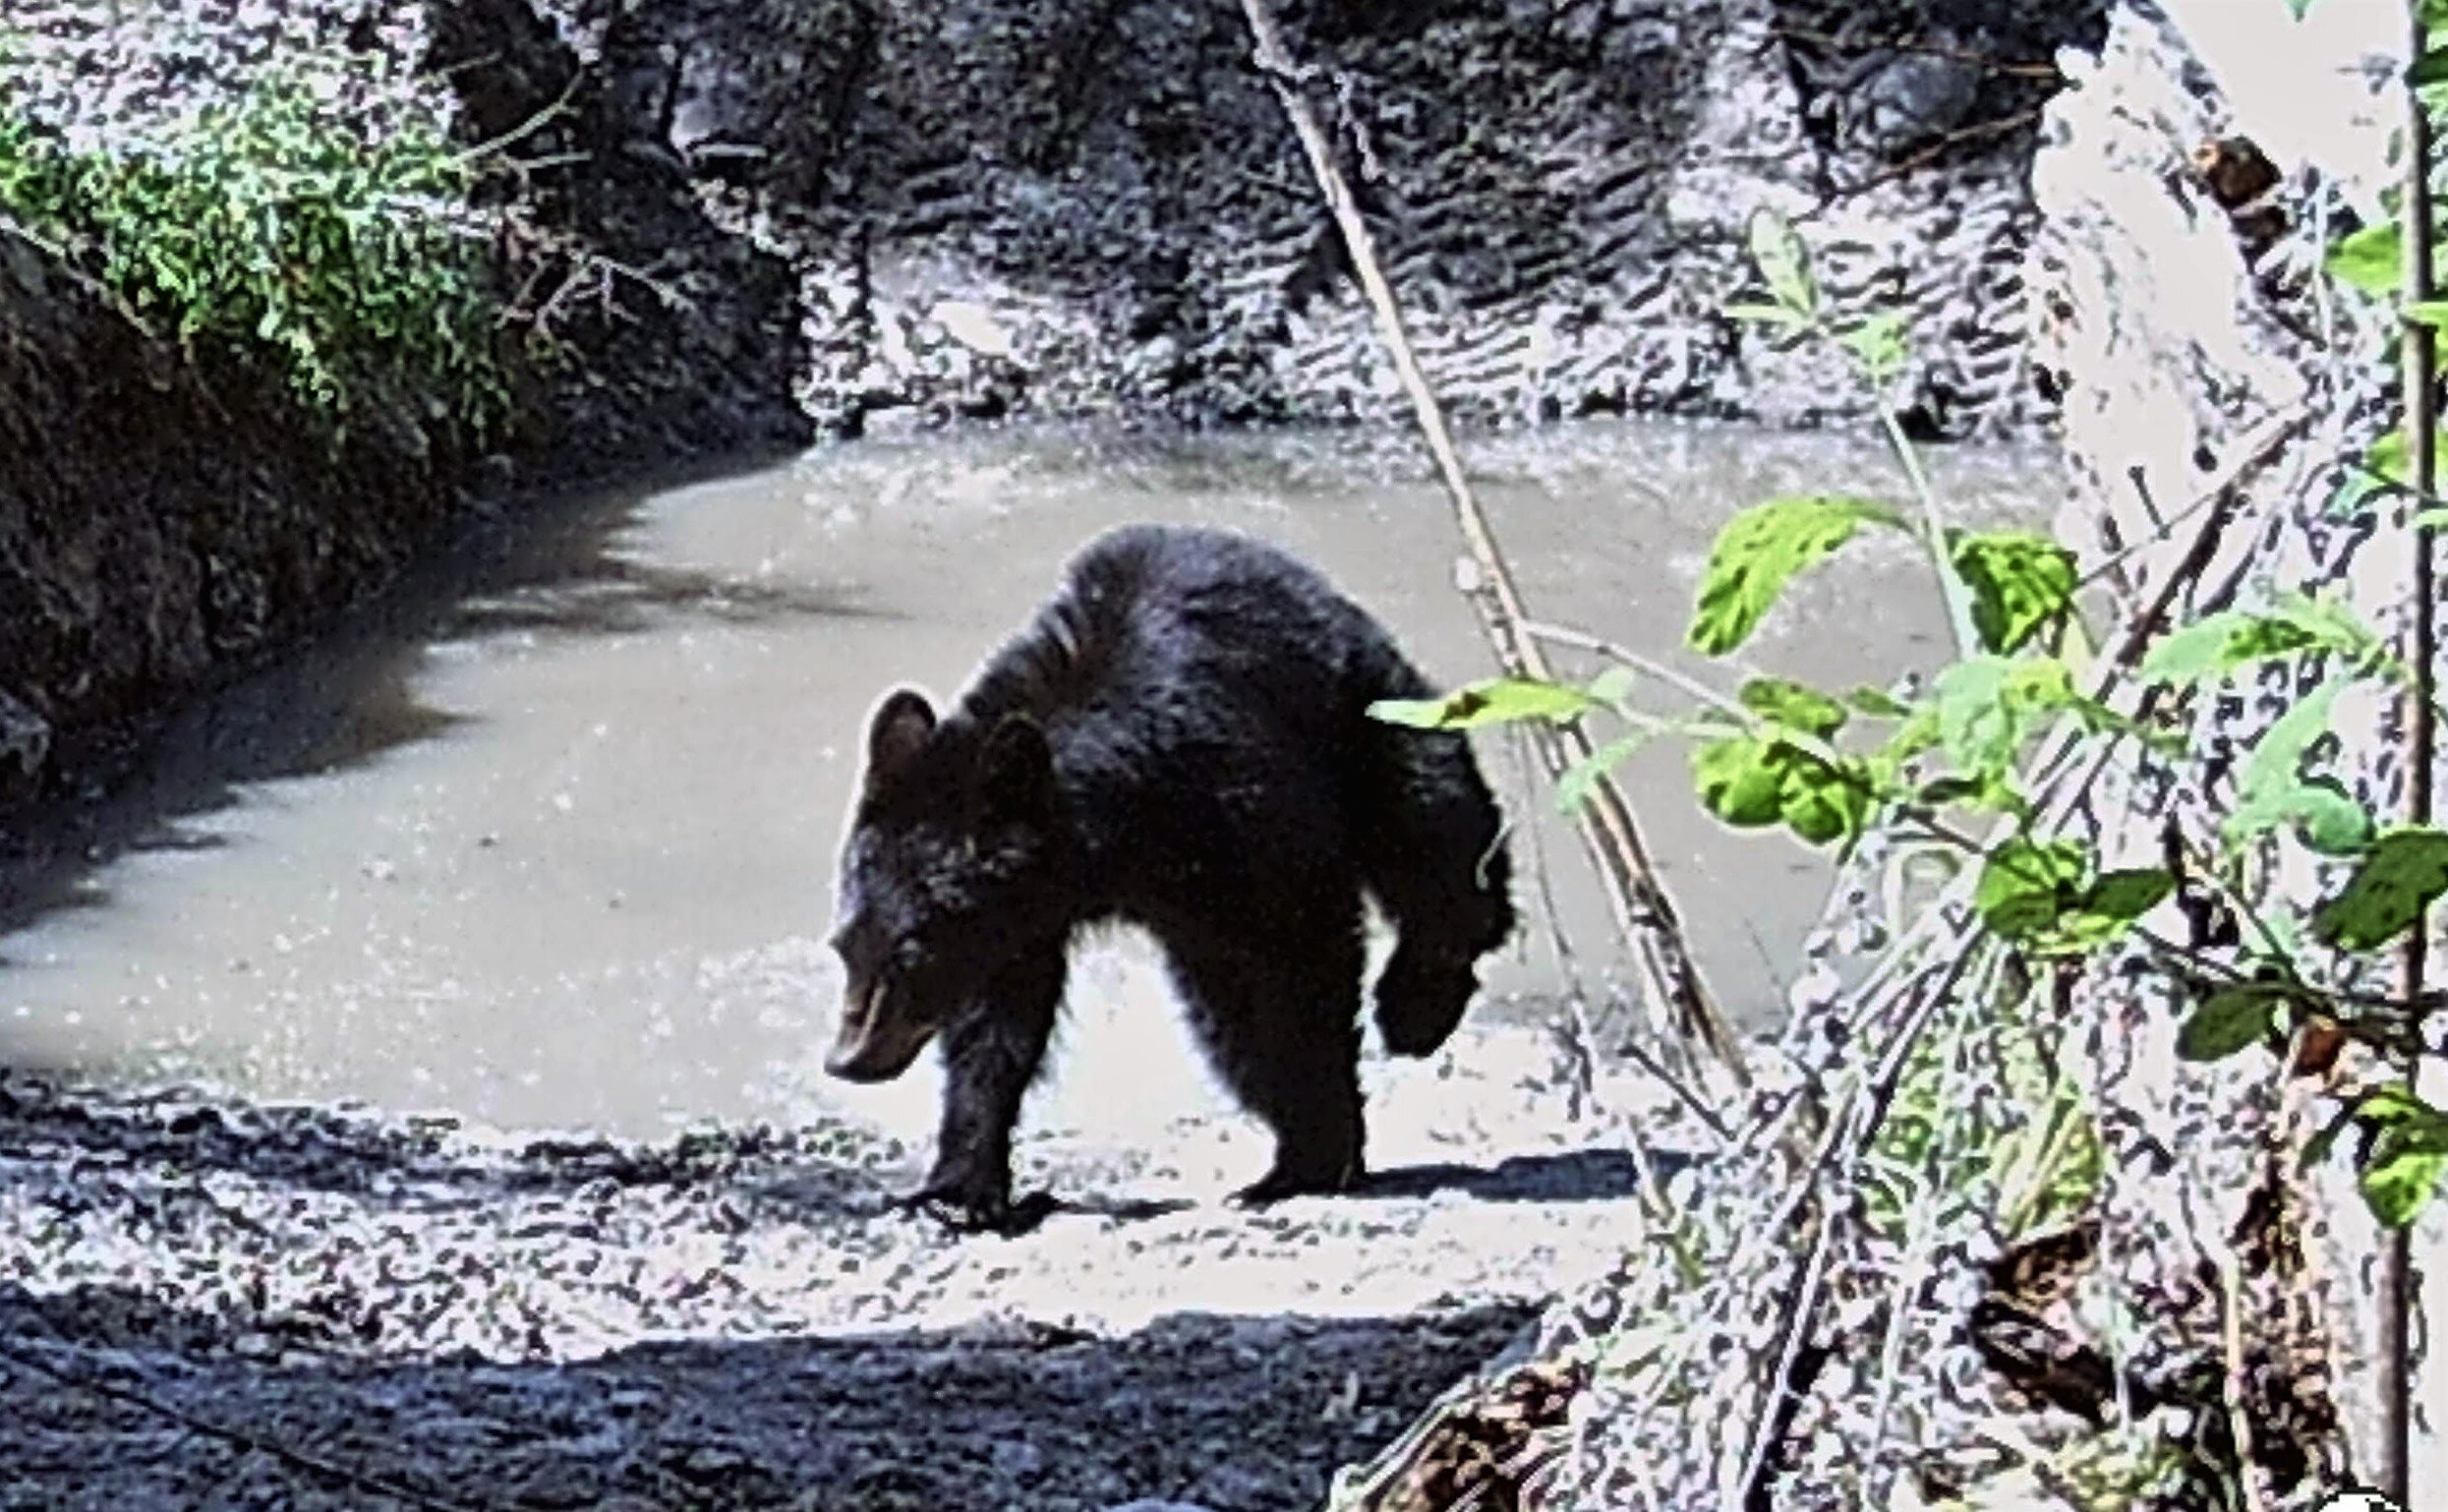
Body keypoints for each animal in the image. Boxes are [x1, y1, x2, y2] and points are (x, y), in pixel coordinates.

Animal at [822, 521, 1507, 1223]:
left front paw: (1314, 1152)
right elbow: (996, 1029)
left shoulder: (1239, 804)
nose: (847, 1059)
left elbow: (1292, 965)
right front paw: (959, 1185)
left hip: (1369, 708)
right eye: (844, 945)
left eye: (913, 951)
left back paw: (1418, 1006)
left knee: (1435, 829)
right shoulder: (1020, 918)